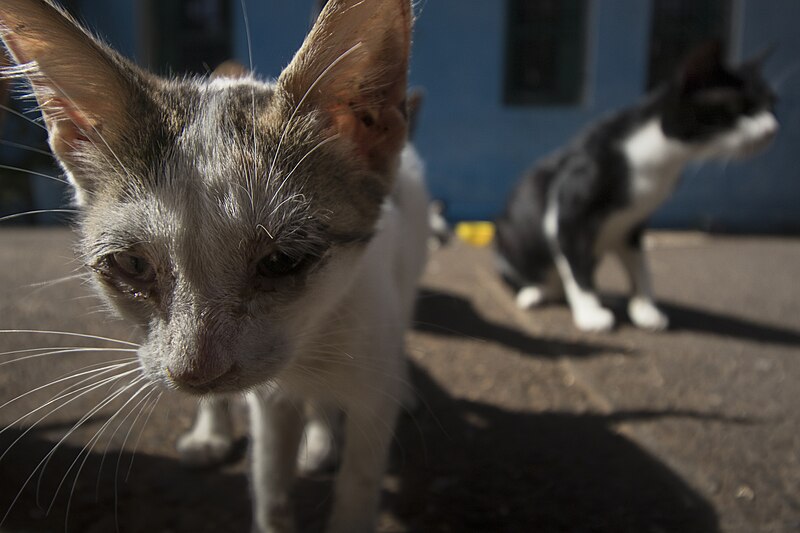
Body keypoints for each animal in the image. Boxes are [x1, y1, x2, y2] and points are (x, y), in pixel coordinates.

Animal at [0, 1, 428, 532]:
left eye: (282, 260)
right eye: (131, 264)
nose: (194, 373)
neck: (311, 341)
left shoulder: (369, 384)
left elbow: (359, 478)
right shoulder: (270, 400)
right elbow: (271, 483)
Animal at [496, 42, 780, 332]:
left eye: (772, 104)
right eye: (737, 106)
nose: (771, 129)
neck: (660, 160)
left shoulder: (631, 228)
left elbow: (641, 268)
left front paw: (645, 308)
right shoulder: (568, 217)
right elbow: (578, 271)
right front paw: (590, 313)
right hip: (511, 241)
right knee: (541, 276)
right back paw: (535, 292)